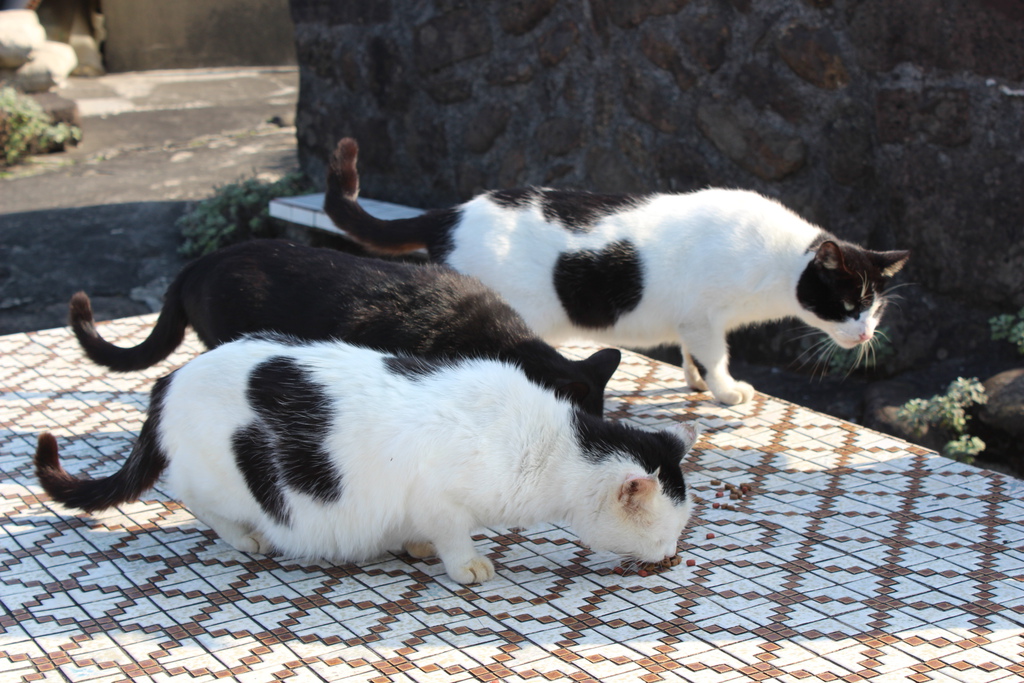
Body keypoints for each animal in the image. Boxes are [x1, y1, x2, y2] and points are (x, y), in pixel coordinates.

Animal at [36, 333, 700, 585]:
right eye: (665, 533)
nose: (671, 557)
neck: (552, 446)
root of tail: (167, 382)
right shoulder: (442, 498)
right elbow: (455, 534)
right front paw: (466, 564)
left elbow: (421, 533)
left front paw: (415, 546)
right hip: (213, 478)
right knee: (196, 500)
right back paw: (246, 537)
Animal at [323, 139, 909, 405]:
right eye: (848, 304)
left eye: (876, 307)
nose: (866, 334)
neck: (779, 261)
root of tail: (452, 211)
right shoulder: (704, 318)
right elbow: (717, 354)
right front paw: (725, 390)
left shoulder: (689, 322)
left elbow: (691, 354)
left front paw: (695, 382)